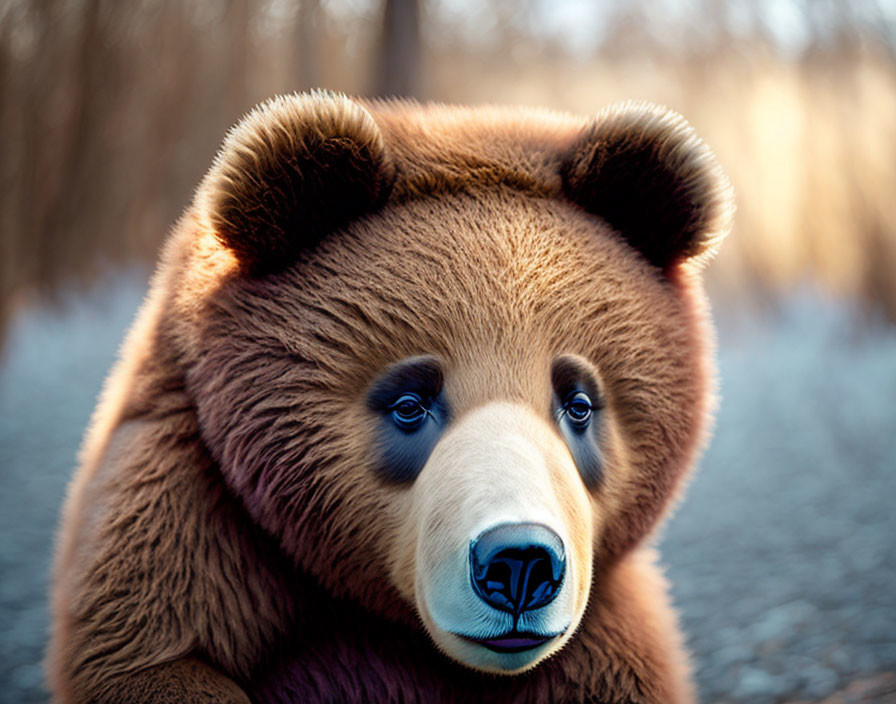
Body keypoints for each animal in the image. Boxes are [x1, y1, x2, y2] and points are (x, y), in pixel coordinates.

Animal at [49, 91, 733, 703]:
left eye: (579, 402)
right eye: (410, 402)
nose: (520, 563)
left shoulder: (607, 631)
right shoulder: (194, 513)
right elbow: (153, 654)